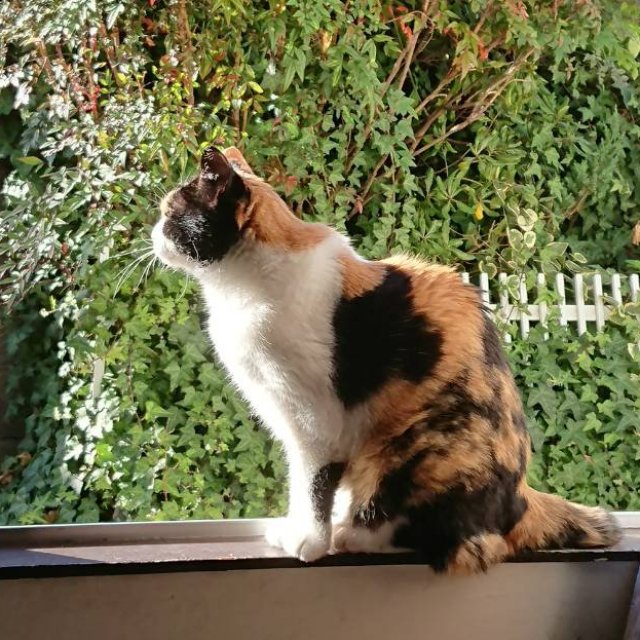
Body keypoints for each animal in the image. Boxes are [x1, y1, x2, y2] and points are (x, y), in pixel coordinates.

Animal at [151, 145, 620, 573]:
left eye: (170, 213)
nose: (153, 233)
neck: (241, 292)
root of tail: (523, 496)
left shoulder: (315, 423)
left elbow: (312, 484)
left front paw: (309, 540)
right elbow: (300, 483)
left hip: (417, 446)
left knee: (453, 537)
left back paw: (353, 533)